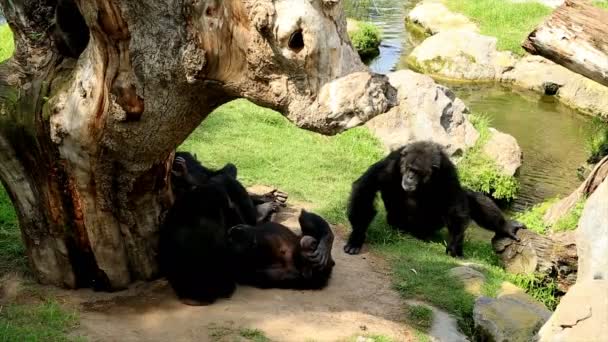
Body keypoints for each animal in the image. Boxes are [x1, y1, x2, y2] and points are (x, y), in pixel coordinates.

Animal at [344, 141, 524, 256]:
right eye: (408, 168)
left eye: (417, 171)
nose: (409, 177)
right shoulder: (391, 164)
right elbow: (366, 186)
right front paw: (356, 237)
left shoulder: (448, 171)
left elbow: (455, 204)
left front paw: (455, 245)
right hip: (401, 225)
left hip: (432, 226)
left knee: (471, 197)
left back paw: (505, 227)